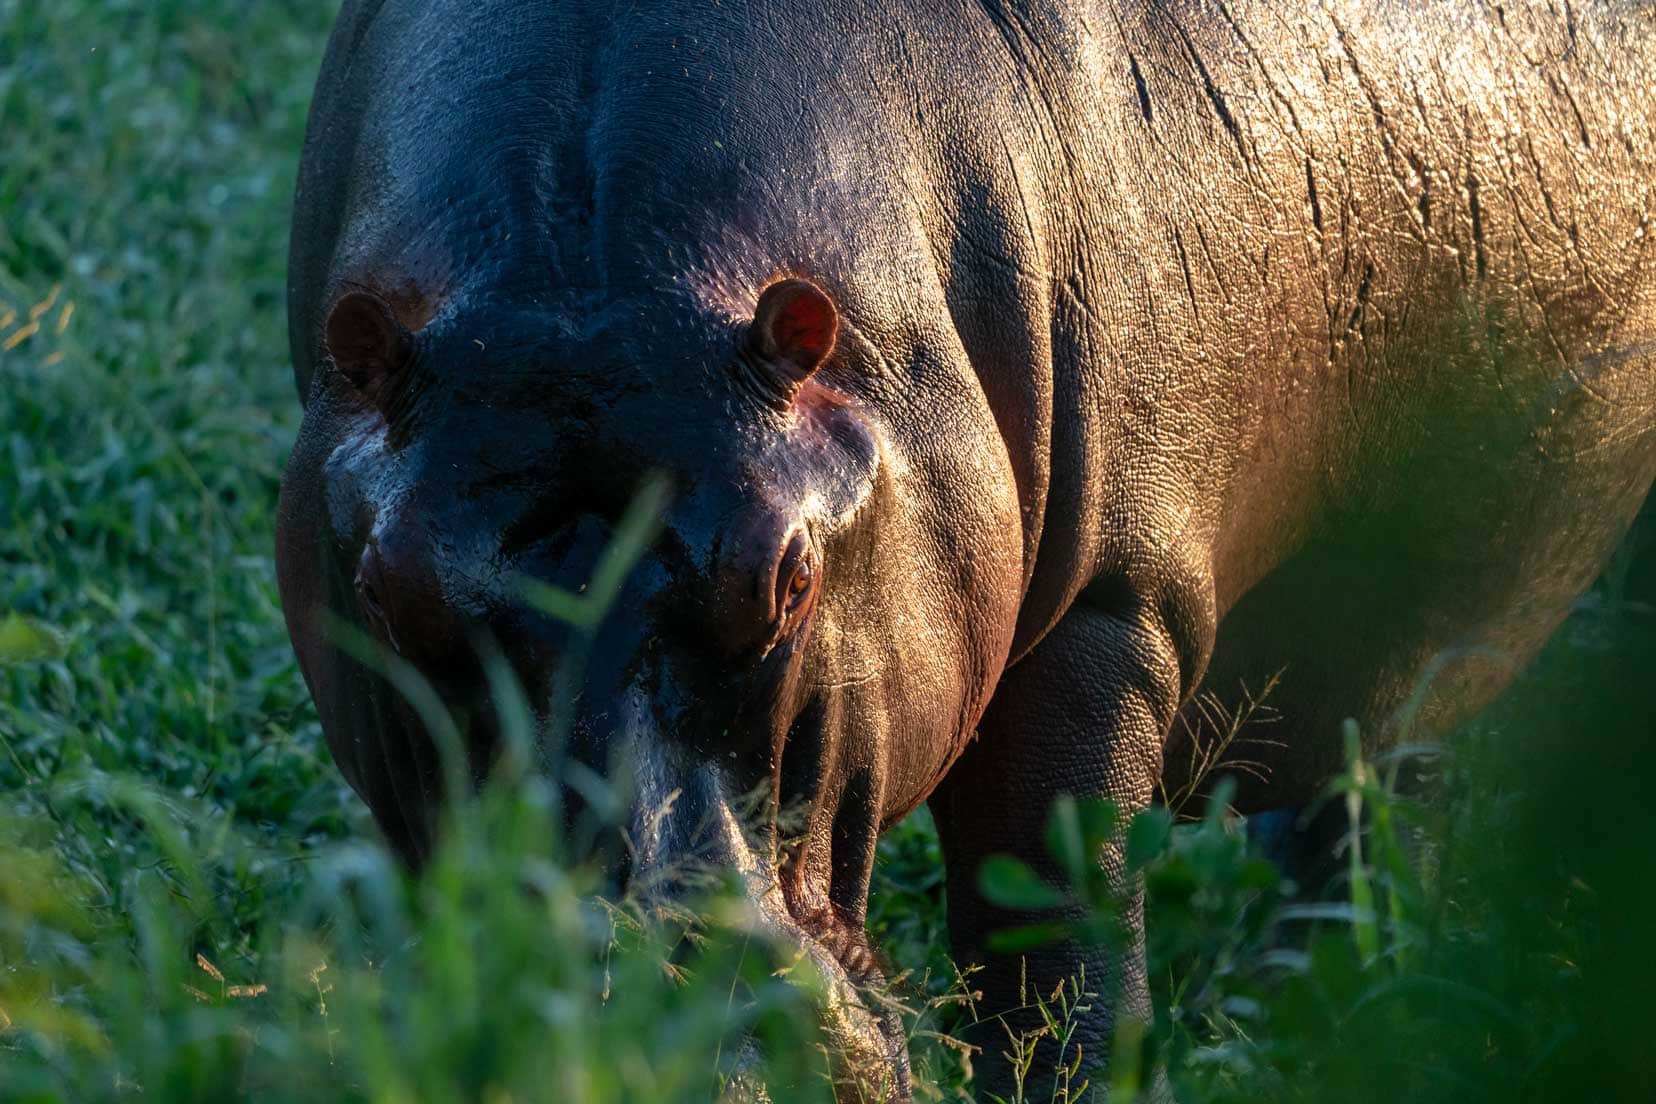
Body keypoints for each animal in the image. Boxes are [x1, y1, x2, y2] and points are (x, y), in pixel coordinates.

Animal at [274, 2, 1656, 1099]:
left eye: (790, 577)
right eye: (388, 595)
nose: (662, 1044)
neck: (597, 274)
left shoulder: (1111, 605)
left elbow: (1053, 918)